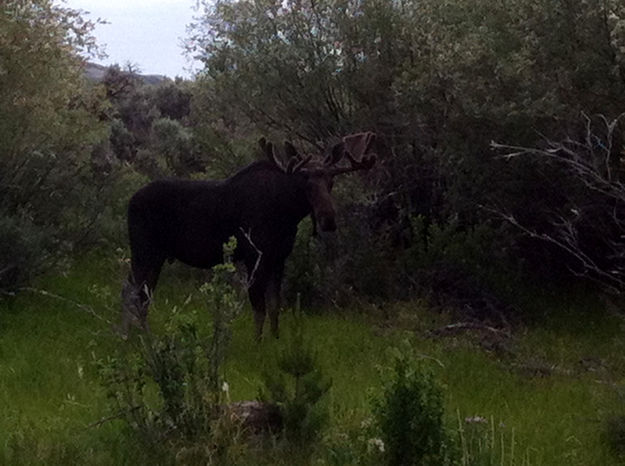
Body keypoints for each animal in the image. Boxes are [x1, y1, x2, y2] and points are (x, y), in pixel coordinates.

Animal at [121, 131, 376, 338]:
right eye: (306, 182)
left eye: (331, 180)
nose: (328, 220)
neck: (287, 214)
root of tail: (130, 201)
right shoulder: (255, 256)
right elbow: (258, 307)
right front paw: (258, 343)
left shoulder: (279, 258)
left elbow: (274, 305)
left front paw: (275, 339)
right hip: (144, 250)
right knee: (134, 294)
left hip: (156, 255)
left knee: (139, 294)